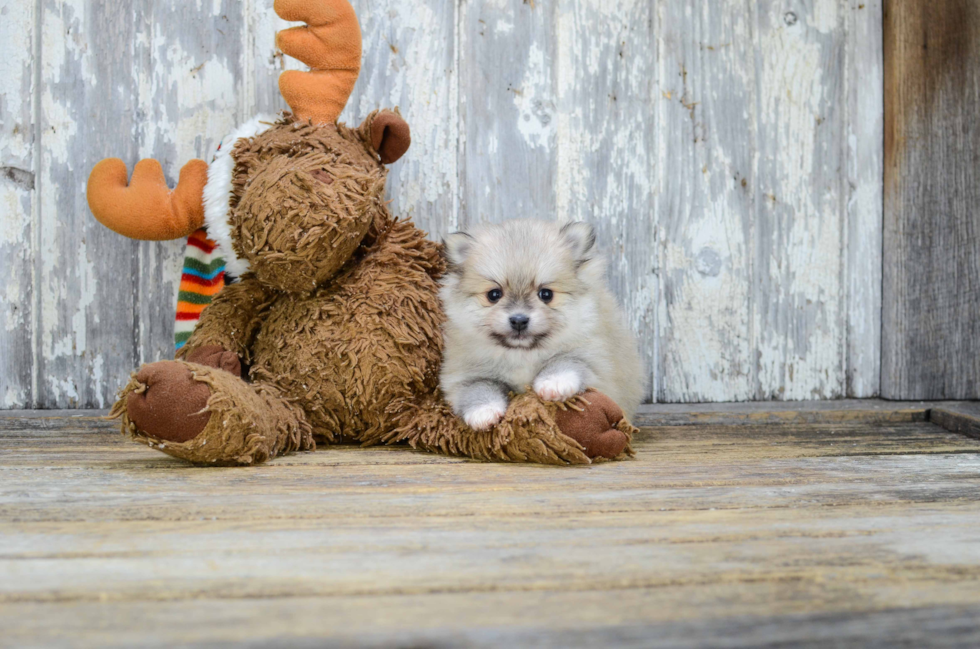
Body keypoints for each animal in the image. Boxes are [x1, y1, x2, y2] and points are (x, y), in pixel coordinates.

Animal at [438, 219, 644, 430]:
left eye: (546, 294)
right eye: (494, 295)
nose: (519, 320)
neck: (522, 354)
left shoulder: (594, 358)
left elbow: (566, 362)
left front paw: (555, 383)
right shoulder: (465, 375)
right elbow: (478, 388)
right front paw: (483, 412)